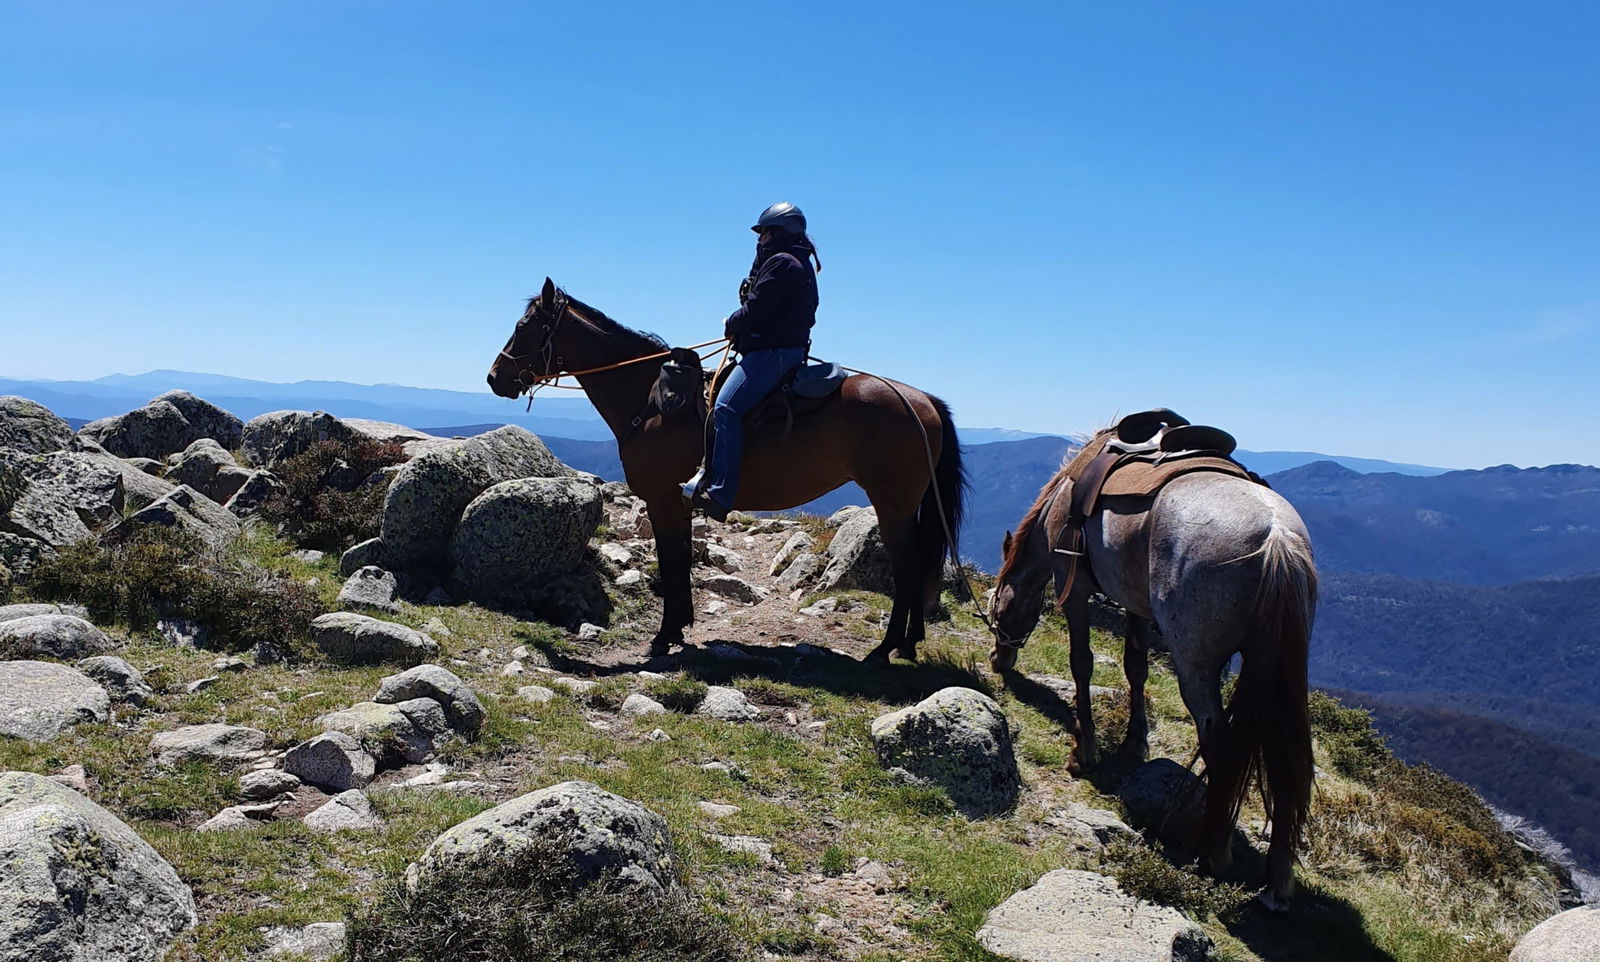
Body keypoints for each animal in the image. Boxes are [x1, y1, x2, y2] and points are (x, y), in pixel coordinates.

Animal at [486, 278, 967, 665]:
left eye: (525, 326)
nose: (495, 377)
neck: (650, 401)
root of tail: (922, 400)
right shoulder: (676, 502)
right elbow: (679, 560)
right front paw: (679, 627)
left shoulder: (662, 498)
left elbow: (671, 561)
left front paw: (663, 636)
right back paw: (909, 643)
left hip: (892, 503)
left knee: (907, 567)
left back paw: (885, 649)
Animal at [987, 421, 1317, 910]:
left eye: (998, 603)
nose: (999, 659)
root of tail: (1276, 538)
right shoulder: (1137, 606)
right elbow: (1135, 667)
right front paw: (1134, 742)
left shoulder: (1075, 589)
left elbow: (1082, 663)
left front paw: (1084, 751)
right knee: (1287, 759)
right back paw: (1276, 880)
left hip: (1196, 667)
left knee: (1220, 744)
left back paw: (1212, 852)